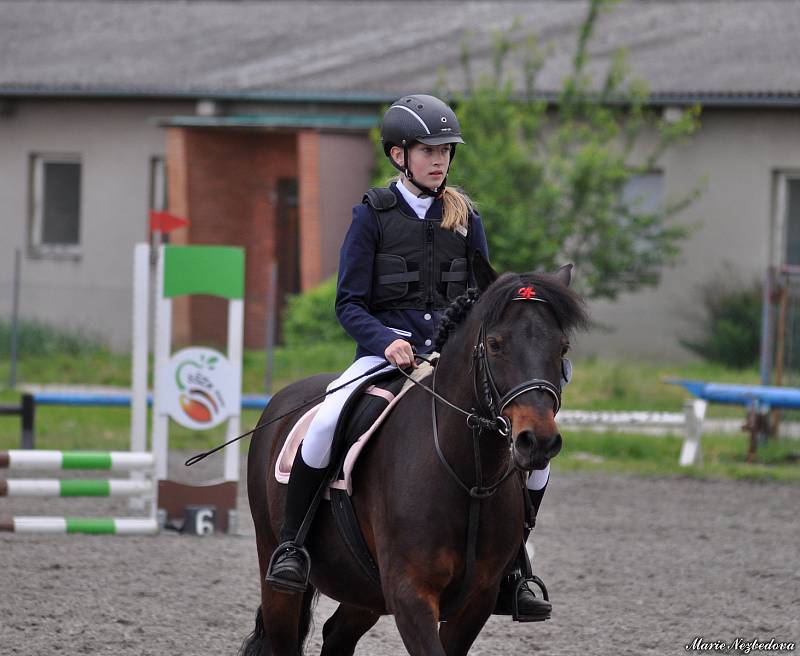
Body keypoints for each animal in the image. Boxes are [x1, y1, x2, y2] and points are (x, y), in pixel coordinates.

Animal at [244, 256, 588, 656]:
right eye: (495, 344)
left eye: (562, 348)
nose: (538, 442)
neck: (468, 476)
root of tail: (281, 400)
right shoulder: (410, 593)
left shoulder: (476, 600)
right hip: (277, 576)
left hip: (364, 591)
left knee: (337, 634)